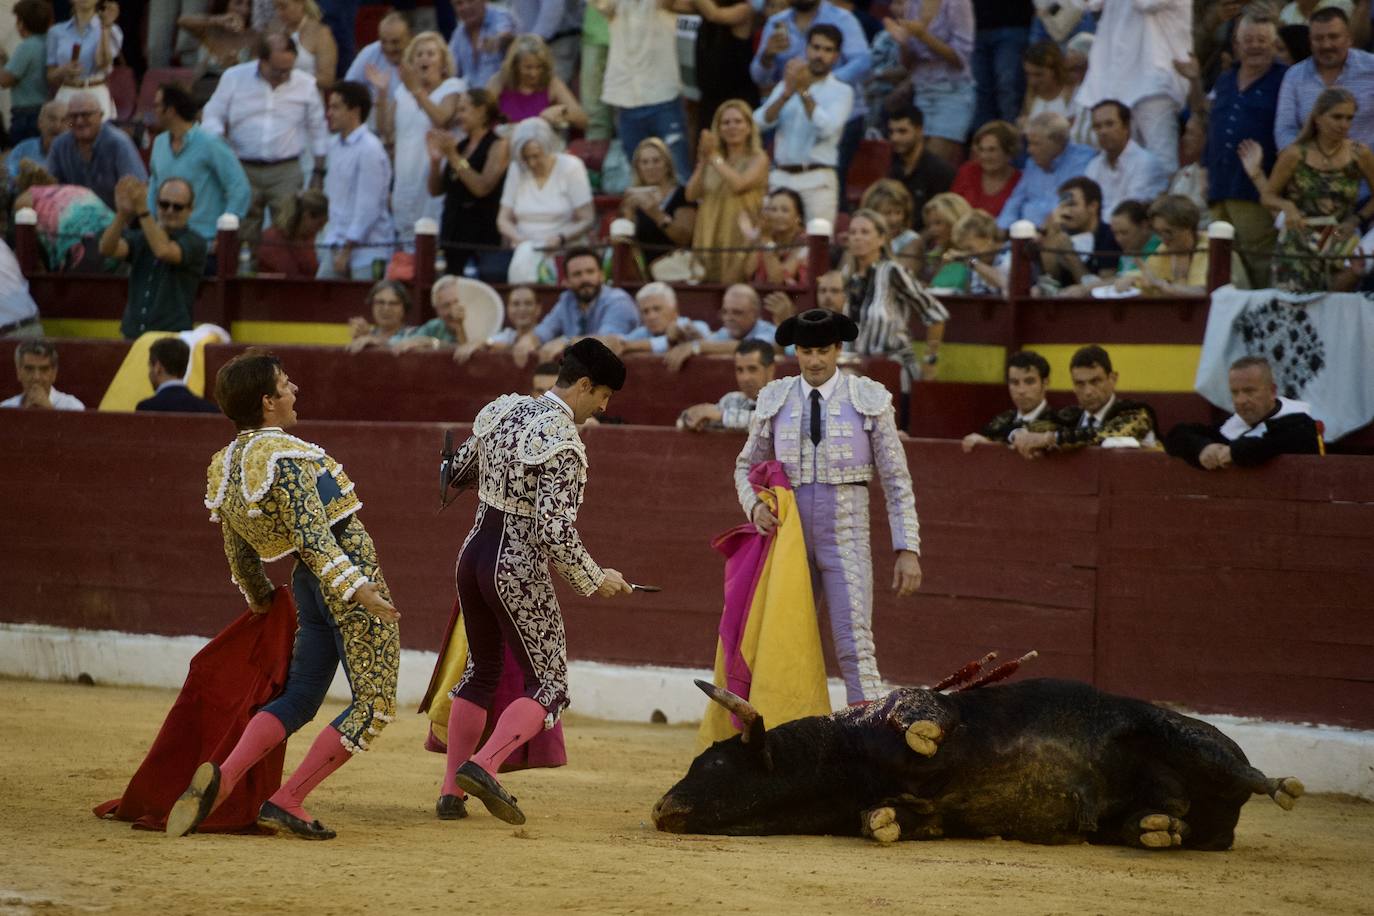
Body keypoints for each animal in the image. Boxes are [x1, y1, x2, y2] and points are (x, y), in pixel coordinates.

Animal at [648, 656, 1302, 851]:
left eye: (713, 763)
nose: (659, 809)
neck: (839, 763)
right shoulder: (920, 811)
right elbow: (888, 819)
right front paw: (883, 822)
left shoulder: (927, 708)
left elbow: (919, 714)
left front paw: (921, 734)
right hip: (1168, 812)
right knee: (1181, 827)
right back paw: (1158, 826)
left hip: (1190, 739)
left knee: (1246, 774)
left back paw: (1281, 786)